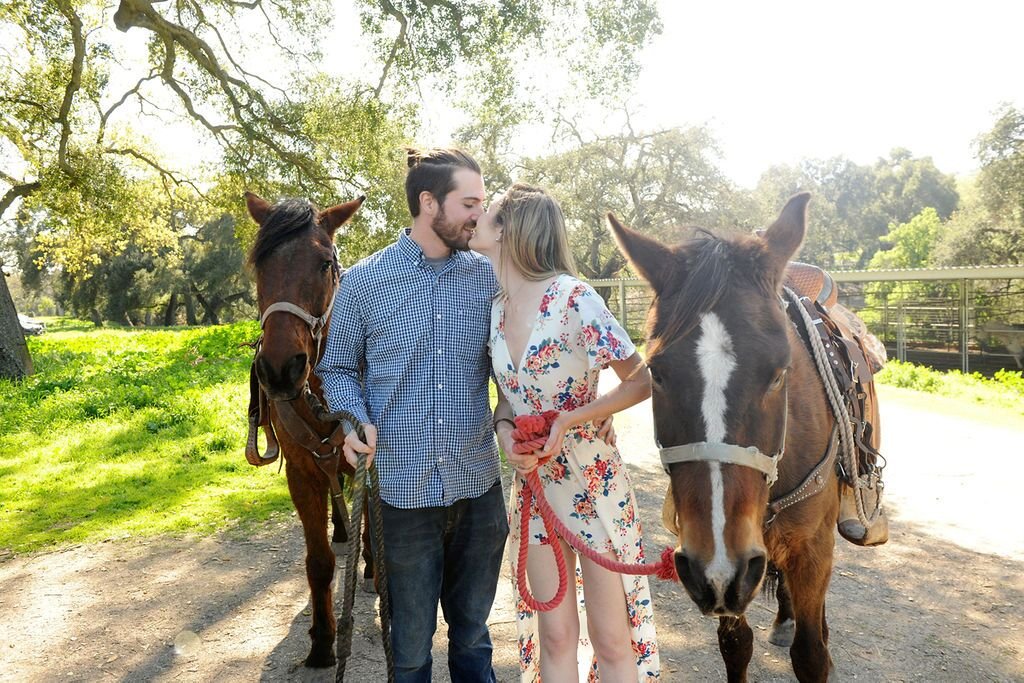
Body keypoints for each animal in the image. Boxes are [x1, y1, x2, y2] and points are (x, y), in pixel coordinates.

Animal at [243, 191, 368, 667]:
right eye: (260, 263)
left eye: (323, 263)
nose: (280, 369)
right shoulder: (301, 473)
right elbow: (318, 563)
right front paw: (322, 640)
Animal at [610, 193, 843, 683]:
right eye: (656, 373)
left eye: (779, 373)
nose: (714, 567)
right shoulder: (731, 571)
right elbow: (736, 646)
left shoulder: (809, 547)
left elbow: (812, 654)